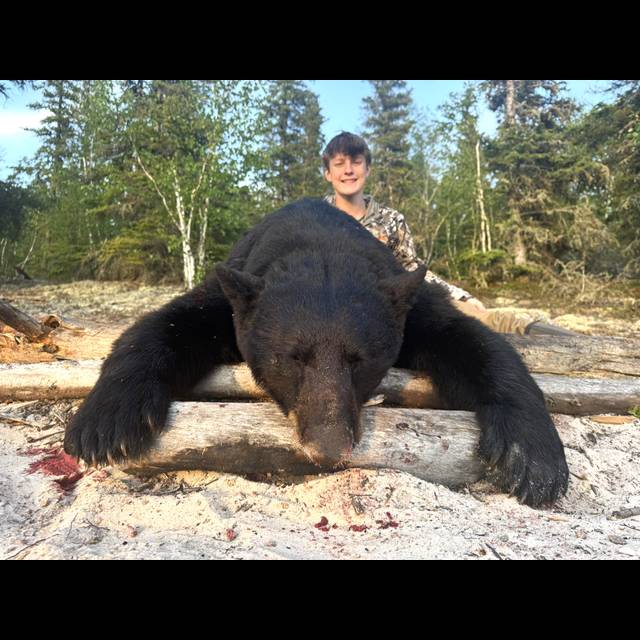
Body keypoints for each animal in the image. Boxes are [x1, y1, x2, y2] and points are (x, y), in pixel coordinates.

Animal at [64, 198, 569, 507]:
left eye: (359, 360)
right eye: (292, 357)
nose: (328, 447)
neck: (316, 237)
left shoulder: (405, 300)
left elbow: (475, 344)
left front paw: (534, 457)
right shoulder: (236, 293)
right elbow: (163, 325)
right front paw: (105, 424)